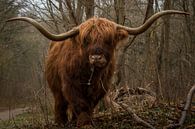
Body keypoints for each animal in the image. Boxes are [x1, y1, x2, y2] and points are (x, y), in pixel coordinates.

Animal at [7, 10, 189, 127]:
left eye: (108, 40)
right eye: (86, 40)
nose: (96, 57)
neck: (89, 73)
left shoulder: (101, 87)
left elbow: (90, 104)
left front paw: (86, 120)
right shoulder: (70, 85)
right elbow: (79, 103)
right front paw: (84, 123)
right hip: (56, 88)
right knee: (60, 104)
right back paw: (61, 122)